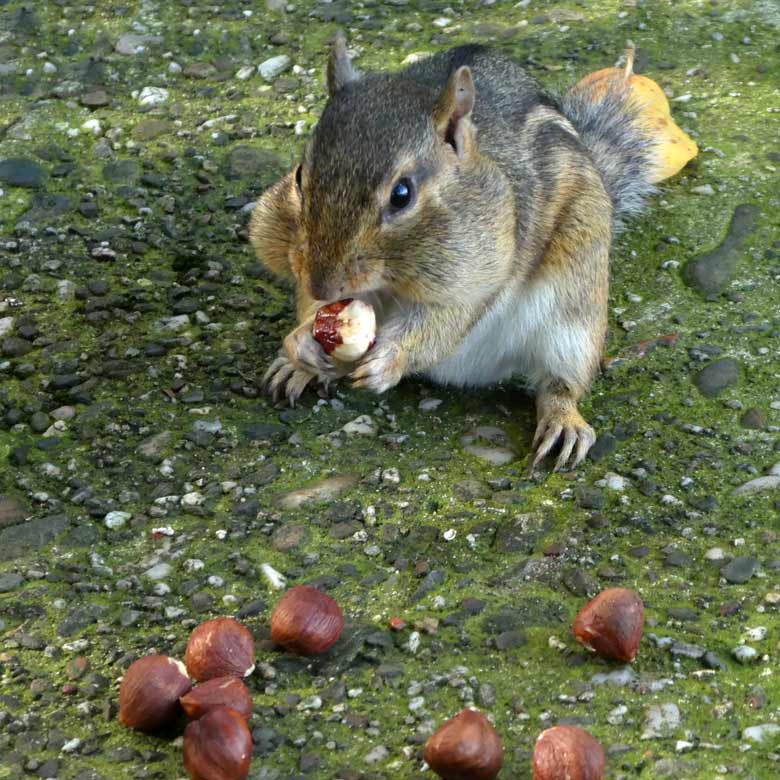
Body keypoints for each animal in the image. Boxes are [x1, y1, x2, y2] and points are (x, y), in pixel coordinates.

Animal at [250, 33, 664, 470]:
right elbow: (308, 305)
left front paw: (389, 360)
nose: (324, 285)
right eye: (299, 177)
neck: (393, 280)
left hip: (575, 316)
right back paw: (297, 370)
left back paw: (563, 421)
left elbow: (445, 322)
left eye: (402, 194)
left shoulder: (480, 276)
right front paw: (300, 346)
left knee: (560, 384)